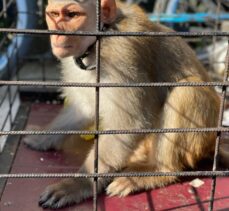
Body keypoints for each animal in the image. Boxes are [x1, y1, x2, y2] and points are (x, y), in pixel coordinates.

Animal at [23, 0, 220, 209]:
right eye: (53, 14)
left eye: (72, 15)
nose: (58, 34)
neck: (100, 39)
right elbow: (84, 109)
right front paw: (41, 137)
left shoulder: (121, 54)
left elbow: (129, 124)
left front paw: (78, 184)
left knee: (186, 90)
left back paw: (158, 171)